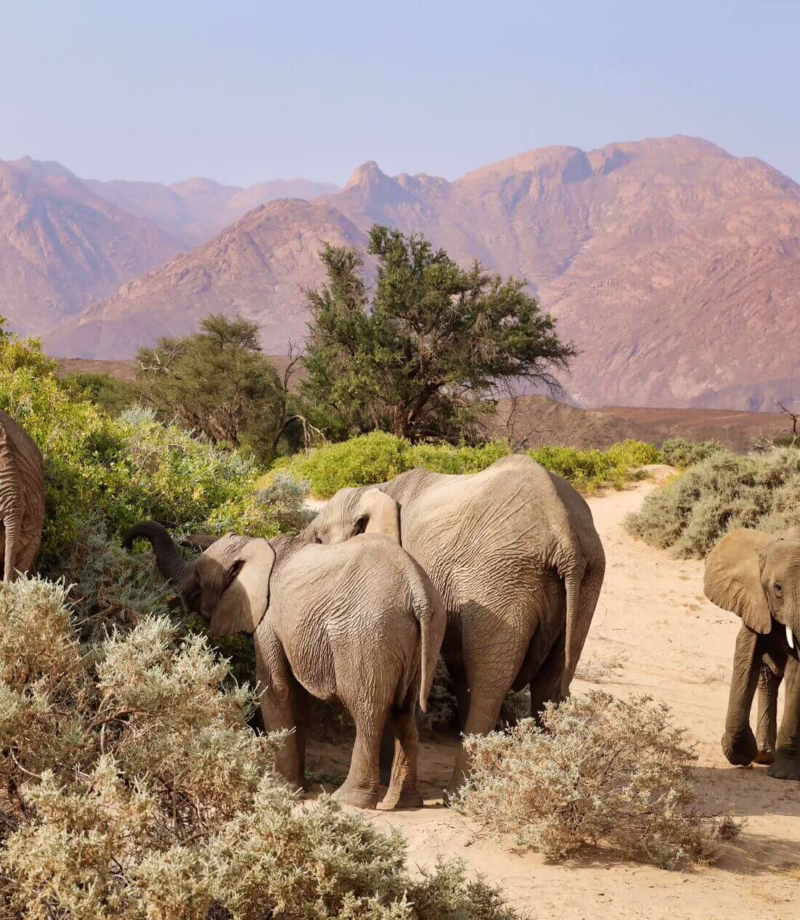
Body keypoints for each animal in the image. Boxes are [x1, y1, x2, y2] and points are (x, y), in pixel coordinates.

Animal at [123, 522, 447, 809]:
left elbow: (276, 689)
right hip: (425, 638)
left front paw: (282, 788)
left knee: (368, 712)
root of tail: (417, 589)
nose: (126, 545)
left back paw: (349, 801)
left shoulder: (267, 619)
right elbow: (298, 700)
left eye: (199, 579)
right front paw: (298, 786)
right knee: (405, 714)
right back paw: (404, 802)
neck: (255, 545)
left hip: (367, 636)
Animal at [304, 454, 606, 791]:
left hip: (501, 580)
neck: (373, 490)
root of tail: (564, 535)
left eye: (319, 538)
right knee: (550, 685)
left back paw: (460, 792)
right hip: (586, 583)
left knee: (490, 688)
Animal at [704, 527, 800, 781]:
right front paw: (741, 754)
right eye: (777, 589)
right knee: (767, 679)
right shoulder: (754, 601)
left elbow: (796, 673)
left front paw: (783, 775)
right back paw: (764, 756)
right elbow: (746, 657)